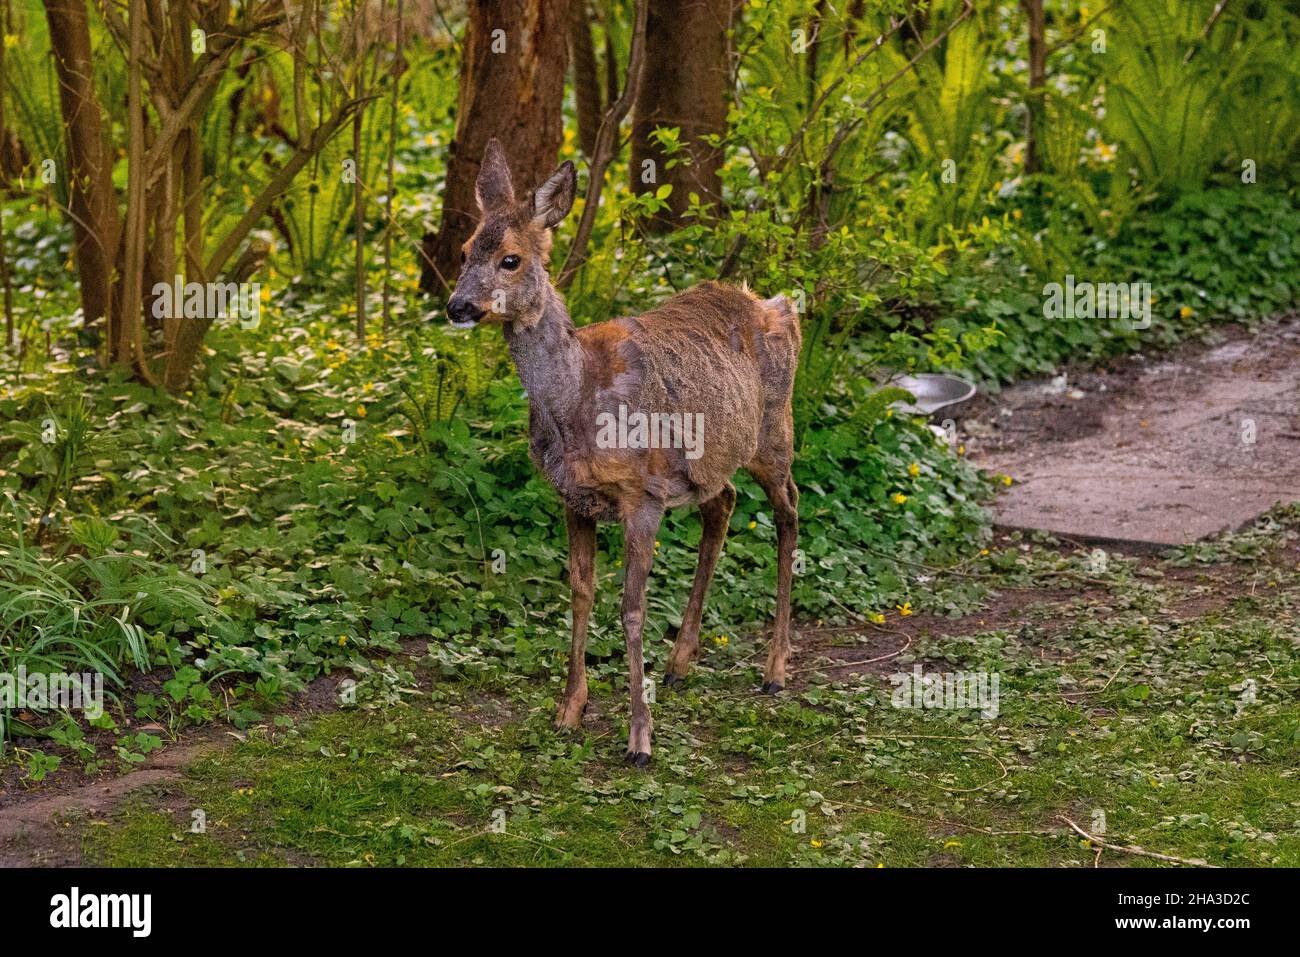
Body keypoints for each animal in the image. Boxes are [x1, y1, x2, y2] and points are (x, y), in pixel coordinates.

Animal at [445, 140, 801, 766]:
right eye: (465, 251)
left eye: (511, 259)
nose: (458, 306)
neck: (577, 402)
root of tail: (780, 305)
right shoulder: (573, 499)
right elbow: (581, 592)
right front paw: (569, 709)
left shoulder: (642, 497)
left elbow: (631, 608)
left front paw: (640, 737)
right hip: (712, 462)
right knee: (724, 501)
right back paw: (682, 662)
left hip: (773, 432)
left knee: (789, 510)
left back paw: (775, 668)